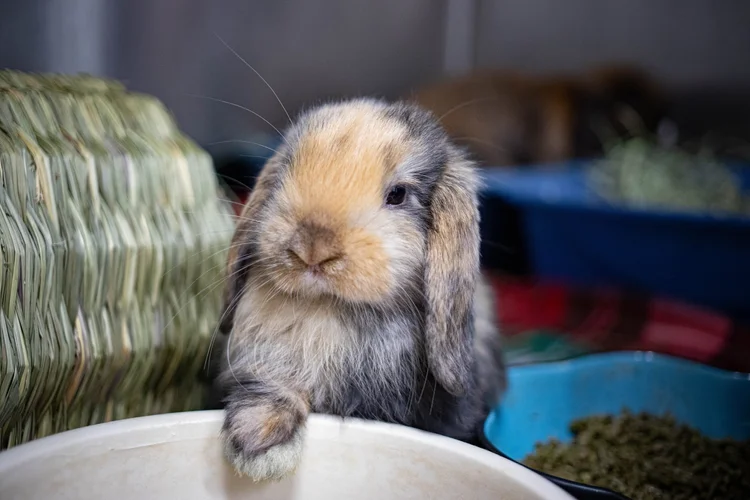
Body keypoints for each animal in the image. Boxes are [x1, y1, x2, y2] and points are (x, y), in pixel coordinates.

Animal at [216, 98, 506, 482]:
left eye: (398, 194)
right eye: (285, 174)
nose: (312, 247)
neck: (331, 311)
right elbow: (276, 389)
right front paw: (257, 440)